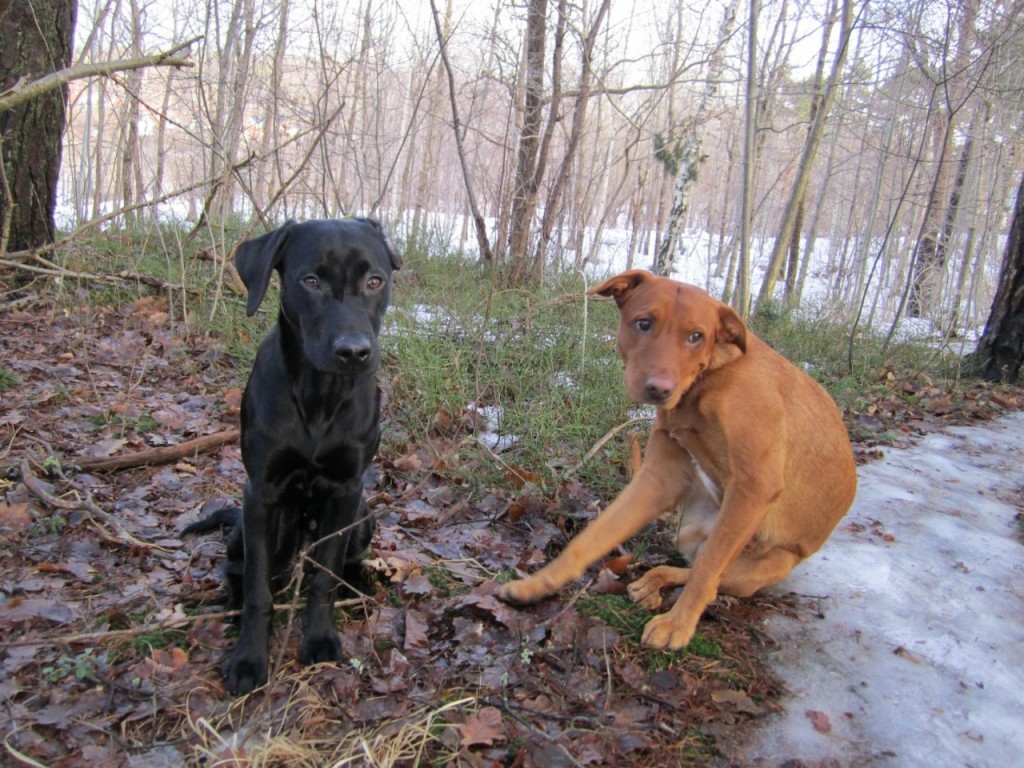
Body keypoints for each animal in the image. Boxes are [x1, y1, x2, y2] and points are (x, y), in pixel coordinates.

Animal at [182, 218, 397, 696]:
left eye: (375, 281)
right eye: (311, 281)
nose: (354, 352)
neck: (319, 397)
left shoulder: (346, 490)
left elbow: (324, 577)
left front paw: (318, 638)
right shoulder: (260, 493)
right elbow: (259, 589)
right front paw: (248, 658)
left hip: (363, 514)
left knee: (340, 563)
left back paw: (359, 582)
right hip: (255, 527)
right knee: (240, 569)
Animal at [495, 270, 856, 651]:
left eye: (696, 336)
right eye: (644, 323)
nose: (659, 389)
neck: (707, 380)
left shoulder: (754, 488)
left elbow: (707, 570)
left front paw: (678, 624)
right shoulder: (658, 478)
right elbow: (591, 538)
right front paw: (537, 584)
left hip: (763, 563)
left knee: (710, 575)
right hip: (689, 530)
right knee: (689, 566)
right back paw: (652, 580)